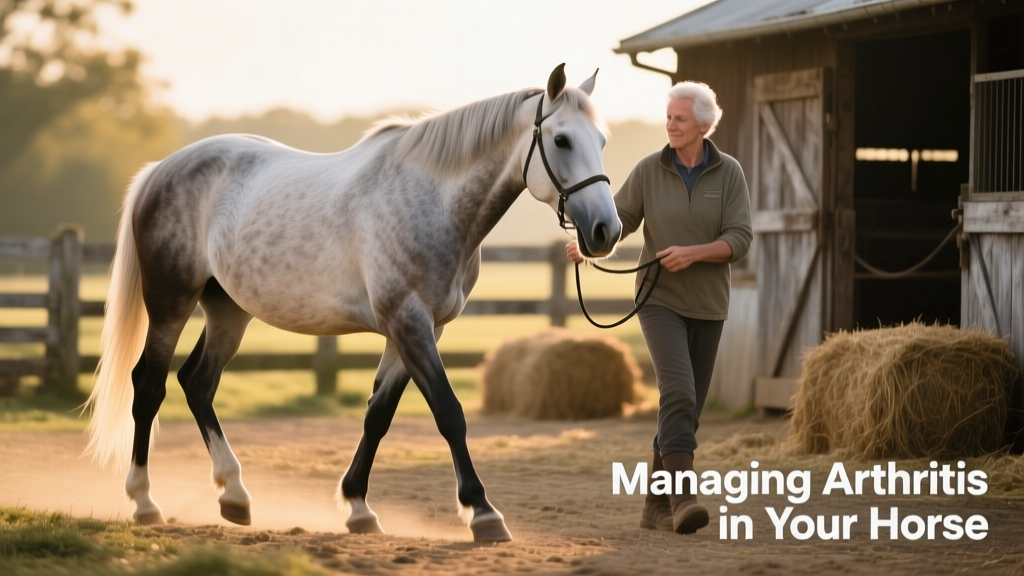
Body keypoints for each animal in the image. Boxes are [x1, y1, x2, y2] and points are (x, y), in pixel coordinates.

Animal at [84, 64, 622, 542]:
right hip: (170, 302)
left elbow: (377, 416)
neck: (433, 201)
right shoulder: (409, 322)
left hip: (228, 311)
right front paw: (483, 512)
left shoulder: (419, 329)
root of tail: (160, 170)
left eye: (602, 141)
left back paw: (234, 496)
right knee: (148, 386)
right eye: (561, 140)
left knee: (197, 383)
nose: (606, 231)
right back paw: (145, 502)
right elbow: (449, 413)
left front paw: (359, 508)